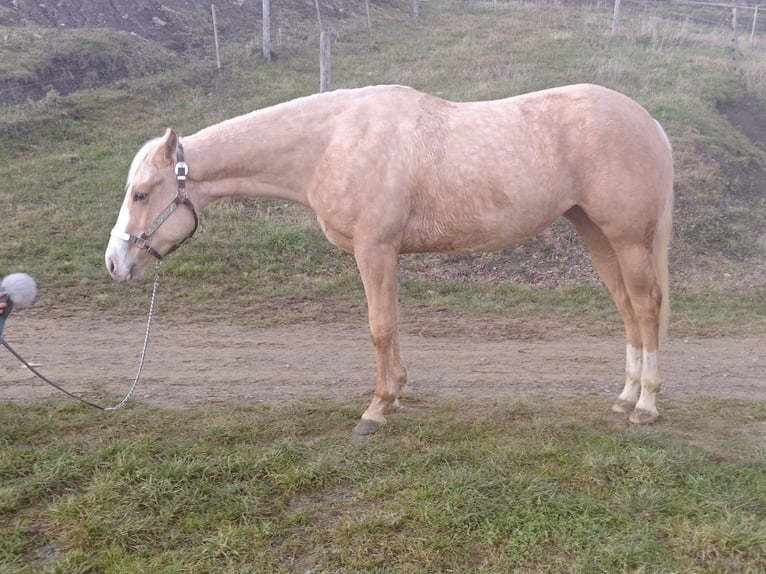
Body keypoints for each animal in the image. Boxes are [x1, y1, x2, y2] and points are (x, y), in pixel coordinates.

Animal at [106, 84, 672, 436]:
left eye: (141, 193)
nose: (115, 263)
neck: (333, 141)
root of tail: (648, 121)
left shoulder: (373, 249)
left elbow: (379, 327)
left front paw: (375, 410)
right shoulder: (387, 253)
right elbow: (394, 324)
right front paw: (396, 394)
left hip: (625, 237)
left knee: (645, 307)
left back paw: (646, 406)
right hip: (596, 233)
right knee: (626, 307)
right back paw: (625, 397)